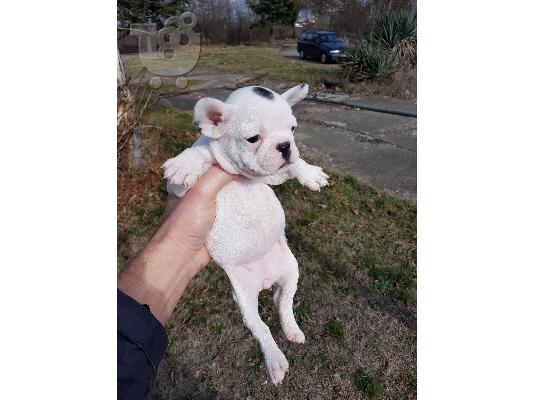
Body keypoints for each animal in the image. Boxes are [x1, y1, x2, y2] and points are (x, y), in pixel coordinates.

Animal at [163, 83, 328, 384]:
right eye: (253, 138)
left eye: (293, 129)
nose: (285, 146)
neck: (241, 176)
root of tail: (266, 279)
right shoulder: (179, 193)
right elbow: (200, 153)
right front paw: (185, 164)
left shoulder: (271, 175)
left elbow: (293, 166)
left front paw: (310, 173)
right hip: (243, 297)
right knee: (259, 326)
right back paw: (275, 361)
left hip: (291, 269)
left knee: (282, 301)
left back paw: (291, 329)